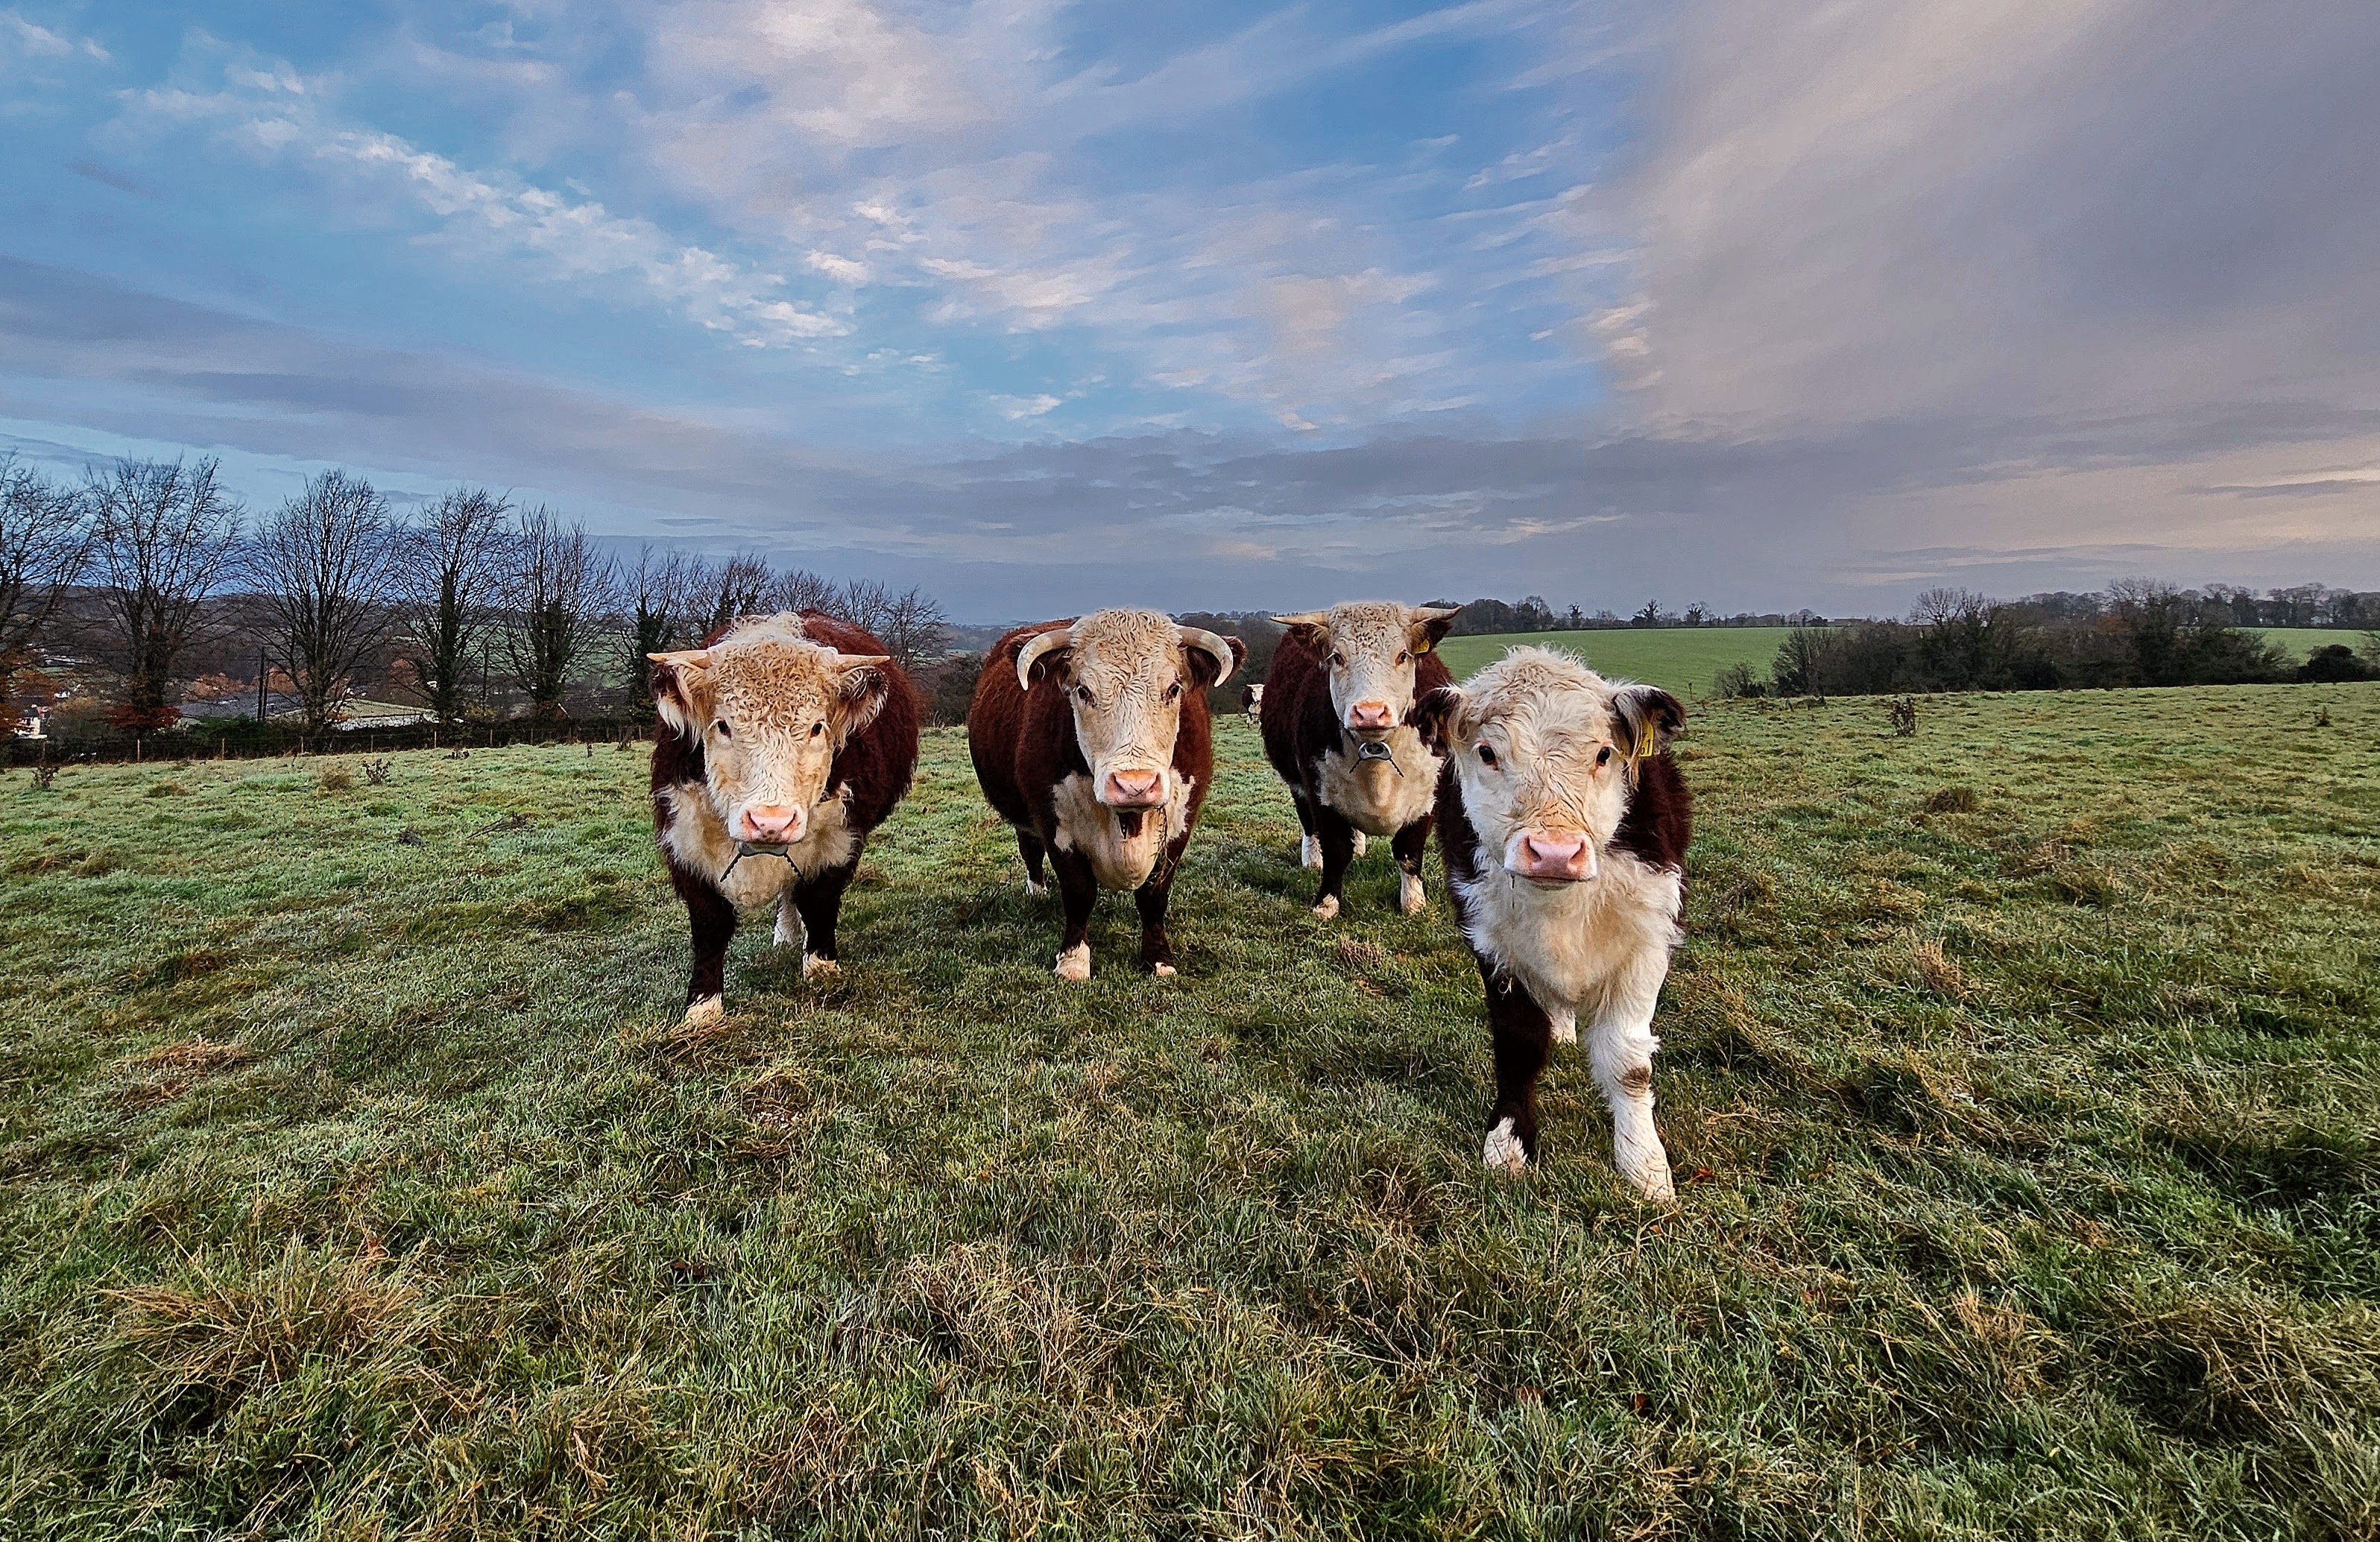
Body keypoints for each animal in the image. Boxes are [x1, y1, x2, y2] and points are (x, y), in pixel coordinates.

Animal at [647, 611, 920, 1024]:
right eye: (723, 725)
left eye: (817, 727)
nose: (770, 822)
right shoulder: (685, 841)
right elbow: (710, 924)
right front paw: (702, 1008)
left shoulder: (841, 838)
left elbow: (819, 902)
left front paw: (821, 970)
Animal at [968, 609, 1244, 981]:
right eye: (1083, 691)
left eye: (1173, 688)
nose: (1134, 784)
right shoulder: (1054, 823)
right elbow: (1079, 892)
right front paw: (1073, 960)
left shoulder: (1180, 822)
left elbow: (1154, 894)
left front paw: (1159, 958)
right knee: (1030, 849)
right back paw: (1036, 892)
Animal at [1261, 602, 1461, 919]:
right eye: (1337, 658)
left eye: (1402, 655)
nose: (1370, 713)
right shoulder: (1321, 791)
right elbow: (1335, 851)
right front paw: (1326, 904)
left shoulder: (1428, 795)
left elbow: (1409, 851)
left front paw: (1413, 902)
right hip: (1297, 783)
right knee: (1308, 822)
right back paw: (1312, 858)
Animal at [1411, 646, 1691, 1198]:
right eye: (1487, 752)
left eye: (1603, 754)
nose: (1555, 853)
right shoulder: (1494, 946)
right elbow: (1518, 1044)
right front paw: (1508, 1144)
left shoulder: (1646, 943)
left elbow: (1628, 1063)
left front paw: (1644, 1166)